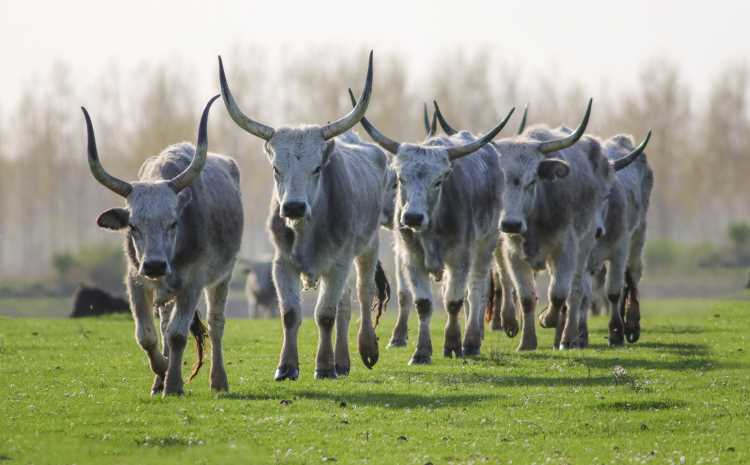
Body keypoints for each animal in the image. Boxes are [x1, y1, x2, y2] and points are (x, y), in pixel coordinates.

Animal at [85, 96, 244, 394]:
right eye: (133, 226)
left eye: (173, 222)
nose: (155, 265)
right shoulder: (135, 280)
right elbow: (146, 335)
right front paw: (161, 371)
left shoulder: (193, 282)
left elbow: (178, 335)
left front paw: (173, 384)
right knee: (165, 324)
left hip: (223, 277)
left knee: (215, 324)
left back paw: (218, 380)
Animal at [220, 51, 390, 380]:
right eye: (276, 168)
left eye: (316, 168)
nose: (293, 207)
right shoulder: (281, 264)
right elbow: (290, 314)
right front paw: (286, 366)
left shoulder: (337, 264)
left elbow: (324, 314)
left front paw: (323, 367)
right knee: (345, 306)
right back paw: (342, 362)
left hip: (368, 248)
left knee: (362, 295)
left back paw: (366, 350)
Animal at [354, 89, 516, 360]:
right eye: (401, 178)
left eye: (439, 180)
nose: (412, 217)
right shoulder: (411, 258)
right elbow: (423, 304)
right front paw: (421, 351)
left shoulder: (459, 258)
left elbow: (453, 301)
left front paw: (452, 345)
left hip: (485, 244)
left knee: (477, 288)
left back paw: (471, 340)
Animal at [584, 132, 656, 342]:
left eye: (605, 194)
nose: (595, 229)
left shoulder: (619, 250)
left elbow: (614, 292)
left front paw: (616, 331)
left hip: (638, 237)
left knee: (632, 274)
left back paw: (631, 323)